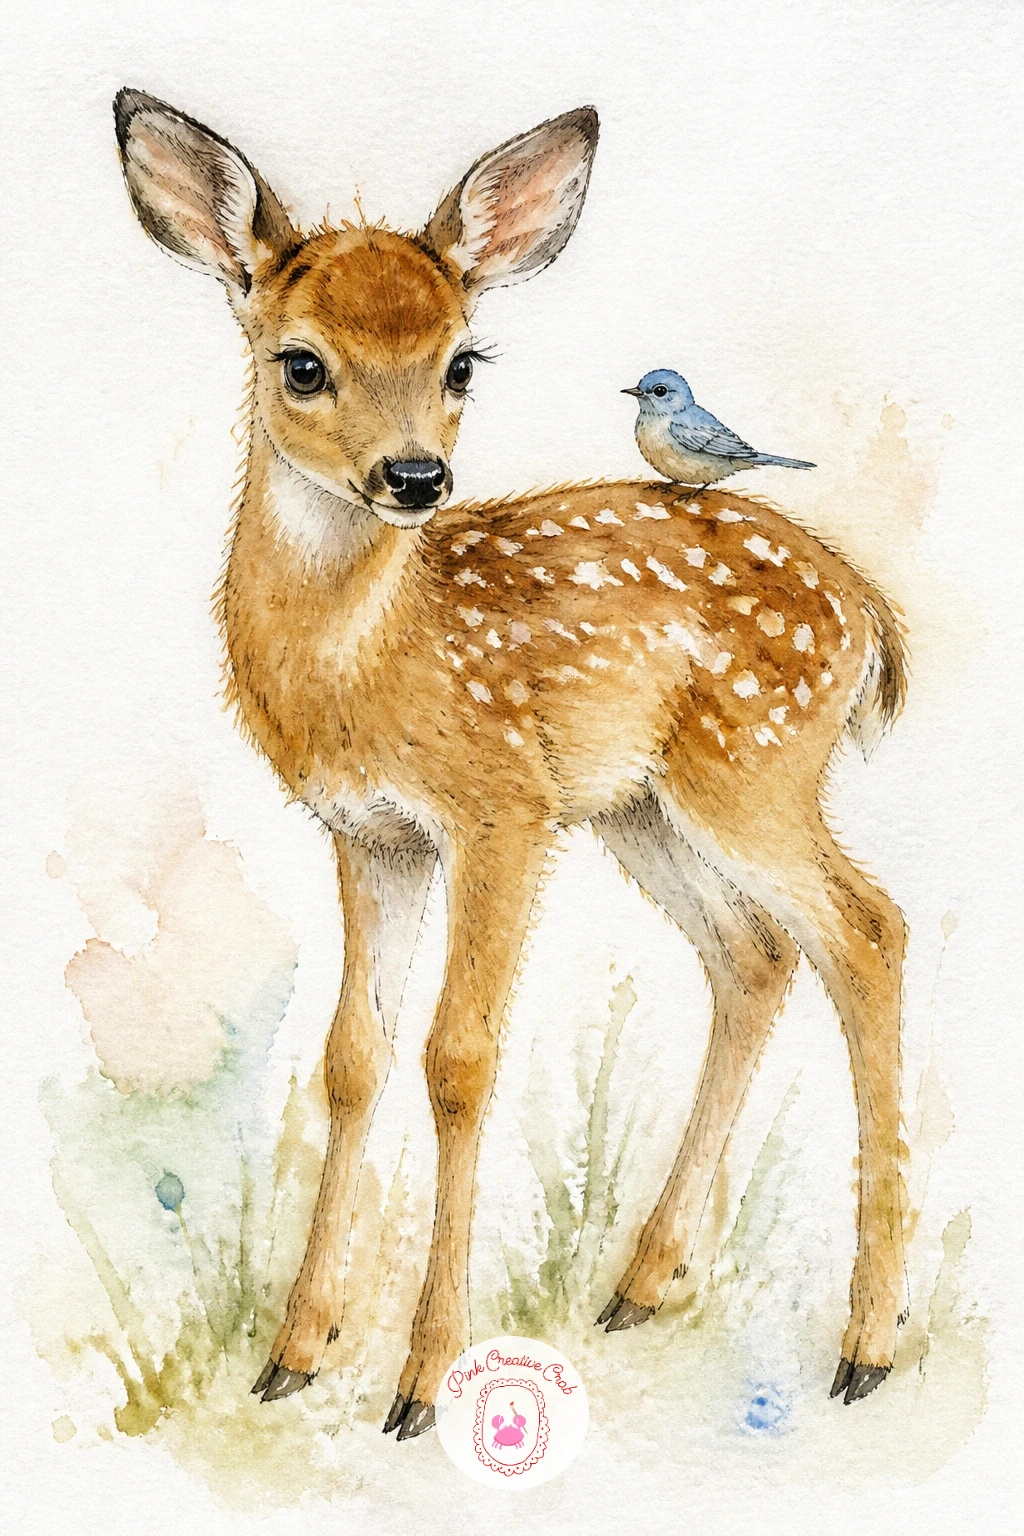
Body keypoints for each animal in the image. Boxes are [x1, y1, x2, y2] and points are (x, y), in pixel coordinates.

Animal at [114, 88, 909, 1440]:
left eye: (461, 362)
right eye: (300, 361)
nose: (414, 477)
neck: (368, 666)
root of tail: (864, 614)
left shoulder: (499, 809)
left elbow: (459, 1058)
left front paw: (422, 1381)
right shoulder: (370, 833)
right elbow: (352, 1060)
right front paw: (294, 1356)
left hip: (751, 768)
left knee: (865, 930)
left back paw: (866, 1347)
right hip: (644, 808)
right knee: (753, 956)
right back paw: (640, 1286)